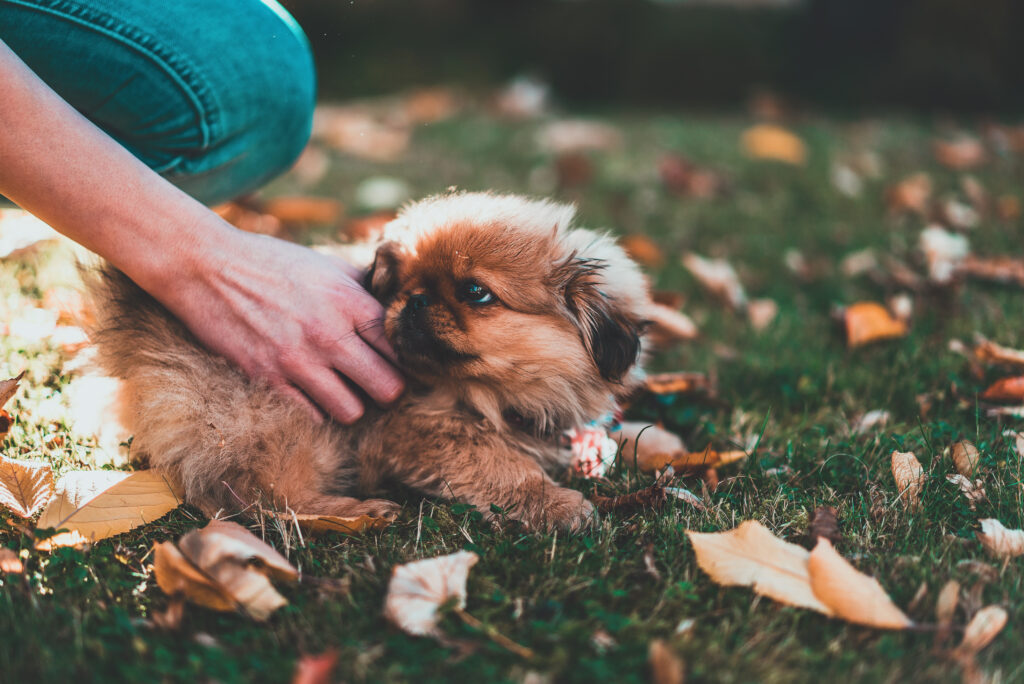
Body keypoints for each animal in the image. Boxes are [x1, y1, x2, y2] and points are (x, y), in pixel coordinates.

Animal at [83, 189, 651, 532]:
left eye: (475, 292)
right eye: (403, 284)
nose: (414, 300)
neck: (484, 395)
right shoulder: (425, 431)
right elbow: (501, 465)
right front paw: (552, 503)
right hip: (295, 425)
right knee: (266, 500)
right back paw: (358, 513)